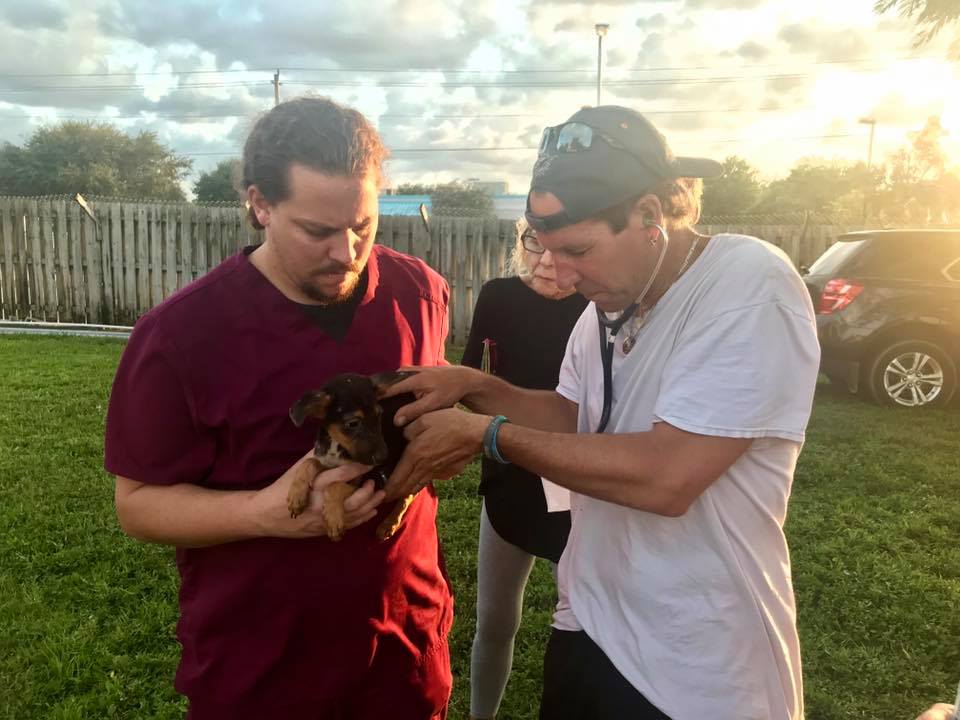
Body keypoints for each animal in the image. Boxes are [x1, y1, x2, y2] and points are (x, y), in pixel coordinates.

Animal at [288, 372, 416, 540]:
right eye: (353, 423)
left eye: (379, 415)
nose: (384, 457)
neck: (337, 445)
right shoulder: (327, 461)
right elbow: (309, 462)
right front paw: (296, 497)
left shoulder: (368, 479)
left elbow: (335, 485)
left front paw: (333, 519)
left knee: (408, 495)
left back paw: (389, 523)